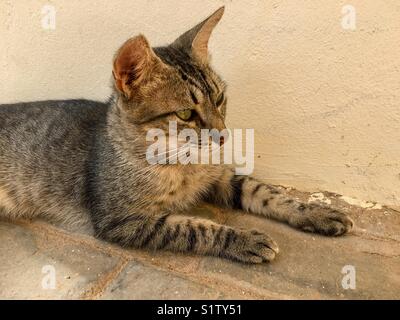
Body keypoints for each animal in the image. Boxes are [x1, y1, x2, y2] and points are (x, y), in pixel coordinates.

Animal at [0, 7, 354, 264]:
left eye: (220, 99)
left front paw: (318, 212)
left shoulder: (222, 177)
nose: (223, 136)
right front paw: (245, 239)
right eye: (185, 114)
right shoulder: (124, 220)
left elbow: (268, 192)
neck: (184, 163)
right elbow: (196, 228)